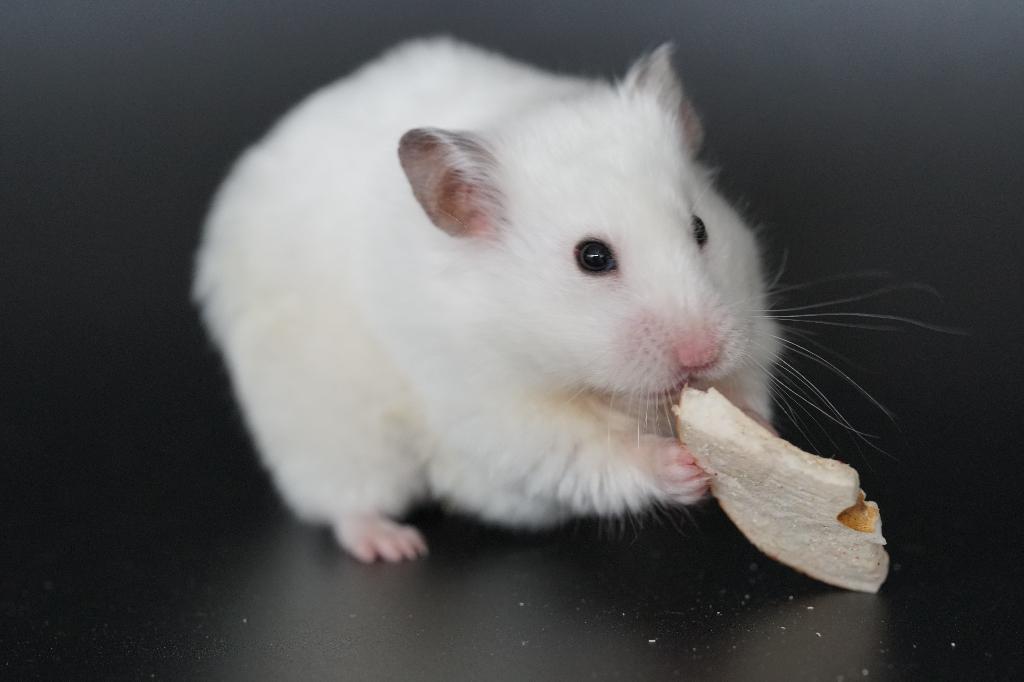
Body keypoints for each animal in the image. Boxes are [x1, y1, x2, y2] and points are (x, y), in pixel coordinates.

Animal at [193, 37, 781, 562]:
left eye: (701, 228)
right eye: (592, 257)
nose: (702, 355)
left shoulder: (753, 325)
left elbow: (748, 382)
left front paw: (755, 428)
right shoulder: (498, 412)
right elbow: (590, 451)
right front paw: (682, 467)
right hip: (331, 433)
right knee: (346, 503)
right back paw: (394, 546)